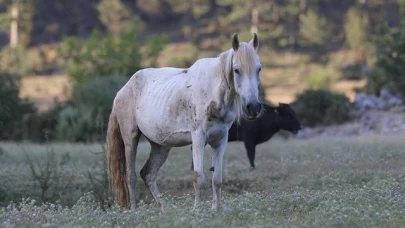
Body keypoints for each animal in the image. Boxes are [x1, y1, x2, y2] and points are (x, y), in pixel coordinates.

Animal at [107, 33, 264, 211]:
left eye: (259, 68)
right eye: (236, 70)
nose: (254, 107)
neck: (213, 94)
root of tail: (122, 90)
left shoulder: (220, 140)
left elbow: (217, 179)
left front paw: (216, 210)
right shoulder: (198, 139)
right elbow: (198, 178)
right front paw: (197, 211)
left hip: (160, 145)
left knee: (148, 174)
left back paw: (166, 210)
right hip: (130, 138)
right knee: (130, 176)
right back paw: (134, 210)